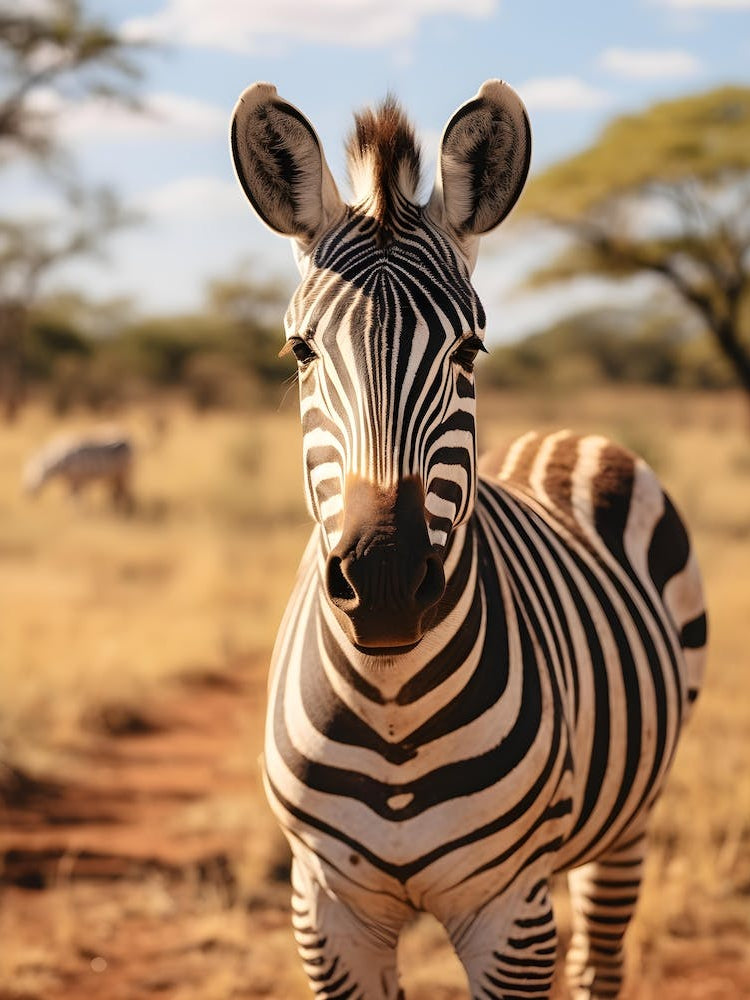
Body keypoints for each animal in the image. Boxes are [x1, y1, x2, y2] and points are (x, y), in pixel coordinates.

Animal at [230, 80, 707, 999]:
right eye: (300, 351)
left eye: (471, 349)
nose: (383, 585)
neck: (390, 704)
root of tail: (559, 435)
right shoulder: (327, 911)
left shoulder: (508, 912)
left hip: (631, 818)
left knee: (599, 960)